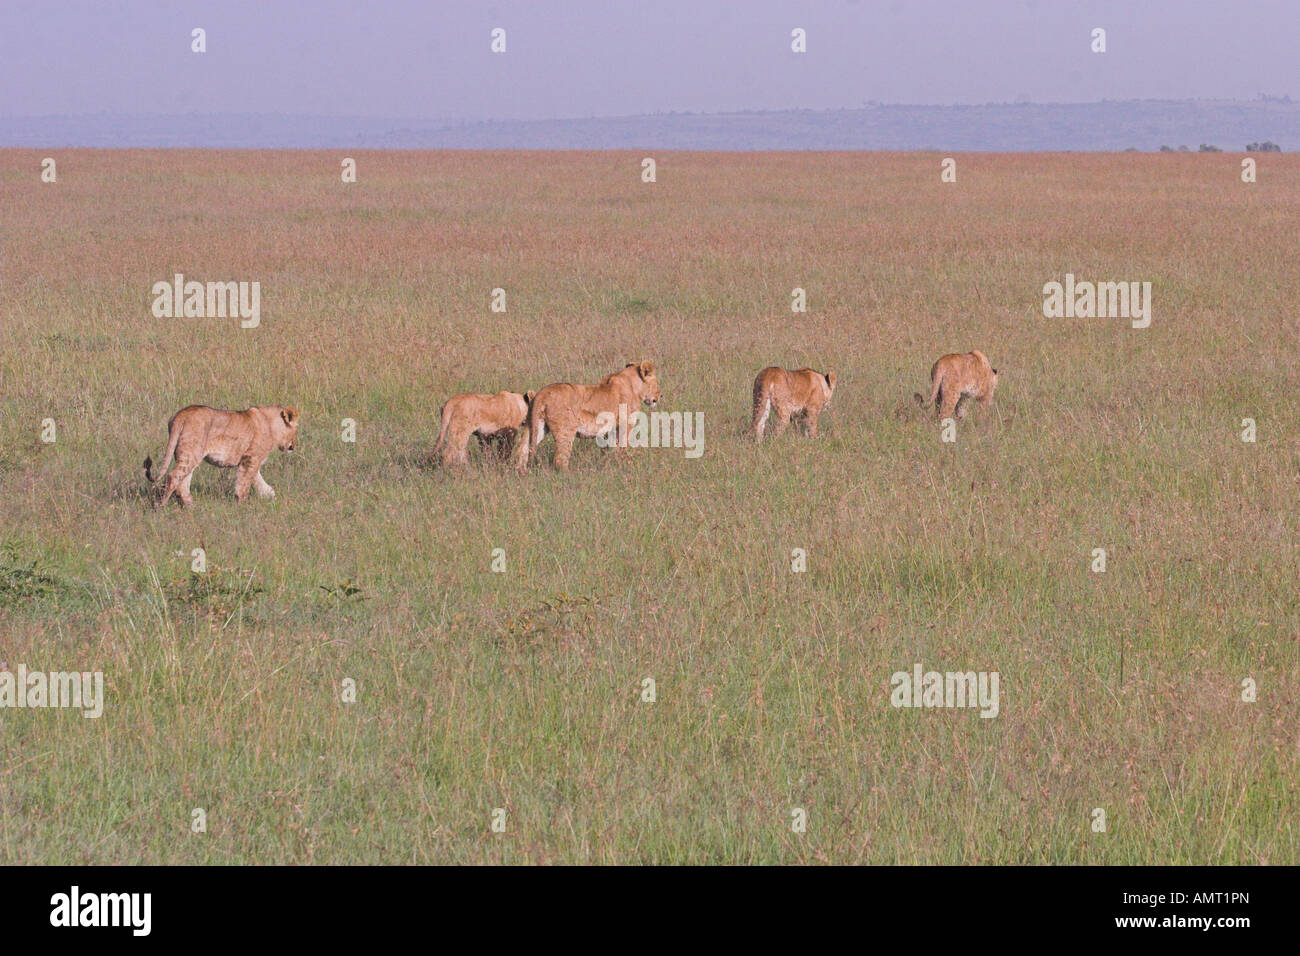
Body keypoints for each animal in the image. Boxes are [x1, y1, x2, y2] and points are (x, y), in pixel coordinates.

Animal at [144, 404, 299, 507]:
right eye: (296, 429)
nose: (293, 447)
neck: (271, 424)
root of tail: (182, 414)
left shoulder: (250, 461)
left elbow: (260, 482)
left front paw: (271, 496)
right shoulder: (250, 459)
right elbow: (244, 484)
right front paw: (242, 504)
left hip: (188, 454)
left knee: (182, 482)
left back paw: (190, 506)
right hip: (191, 453)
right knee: (173, 477)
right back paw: (161, 506)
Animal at [516, 361, 661, 473]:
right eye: (658, 383)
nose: (660, 396)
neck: (634, 386)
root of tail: (543, 393)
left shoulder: (608, 432)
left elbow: (606, 451)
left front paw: (607, 467)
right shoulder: (624, 426)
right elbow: (623, 449)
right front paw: (625, 468)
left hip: (535, 425)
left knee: (523, 449)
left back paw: (522, 472)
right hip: (566, 430)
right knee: (560, 459)